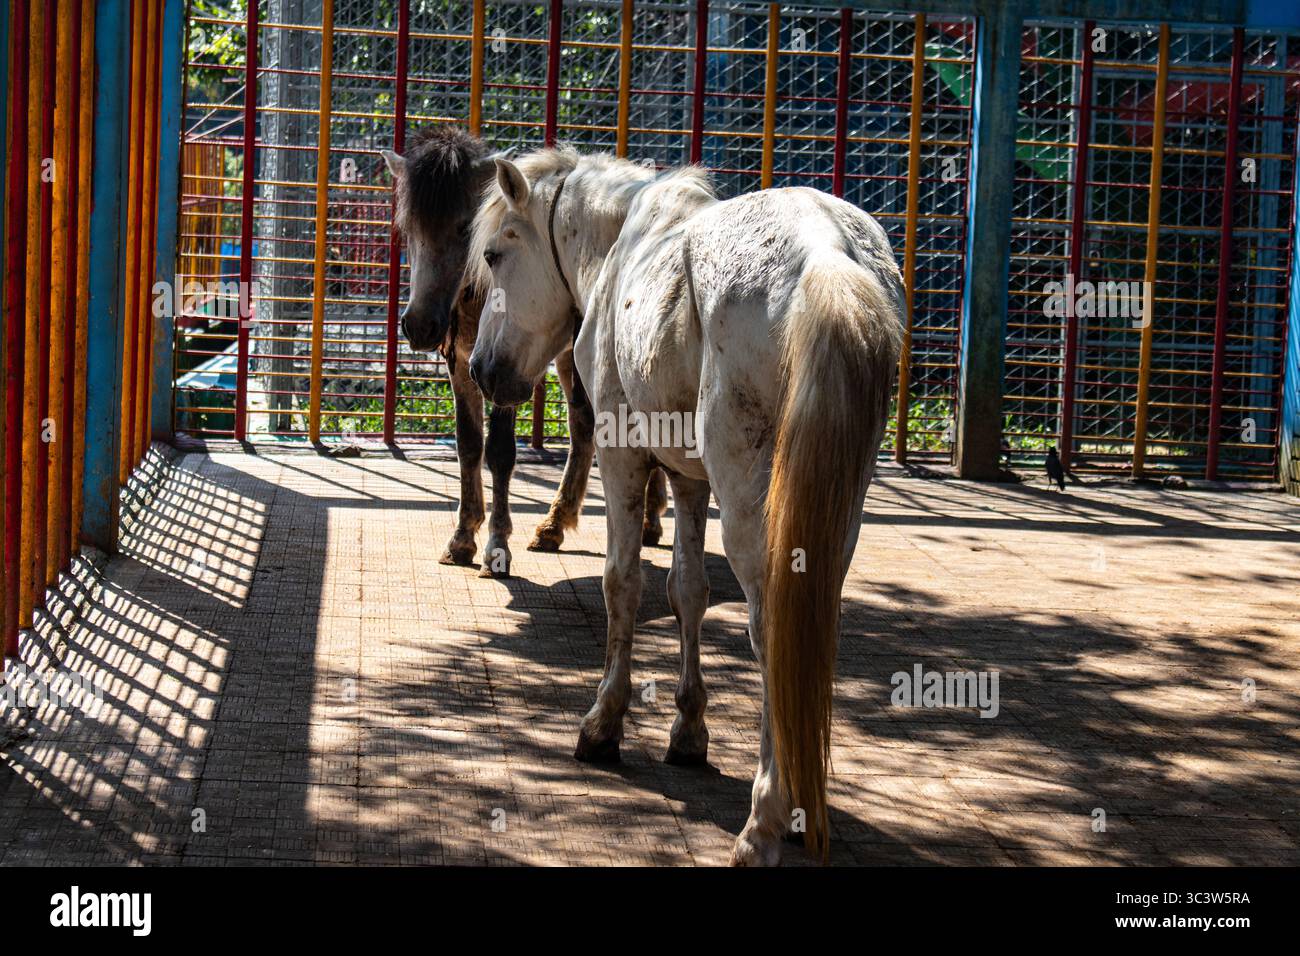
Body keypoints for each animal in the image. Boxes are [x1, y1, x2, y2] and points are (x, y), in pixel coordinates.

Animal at [380, 127, 667, 576]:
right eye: (408, 229)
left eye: (464, 228)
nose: (420, 325)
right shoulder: (462, 364)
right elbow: (468, 444)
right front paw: (463, 536)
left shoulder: (507, 369)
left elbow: (499, 452)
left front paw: (496, 544)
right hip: (568, 356)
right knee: (583, 425)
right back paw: (555, 524)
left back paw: (651, 517)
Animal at [467, 147, 903, 865]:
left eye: (497, 255)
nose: (481, 370)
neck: (621, 242)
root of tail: (827, 251)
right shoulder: (688, 479)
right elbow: (687, 592)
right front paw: (688, 731)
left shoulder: (623, 456)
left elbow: (623, 585)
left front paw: (604, 725)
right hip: (836, 505)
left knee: (771, 627)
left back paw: (763, 822)